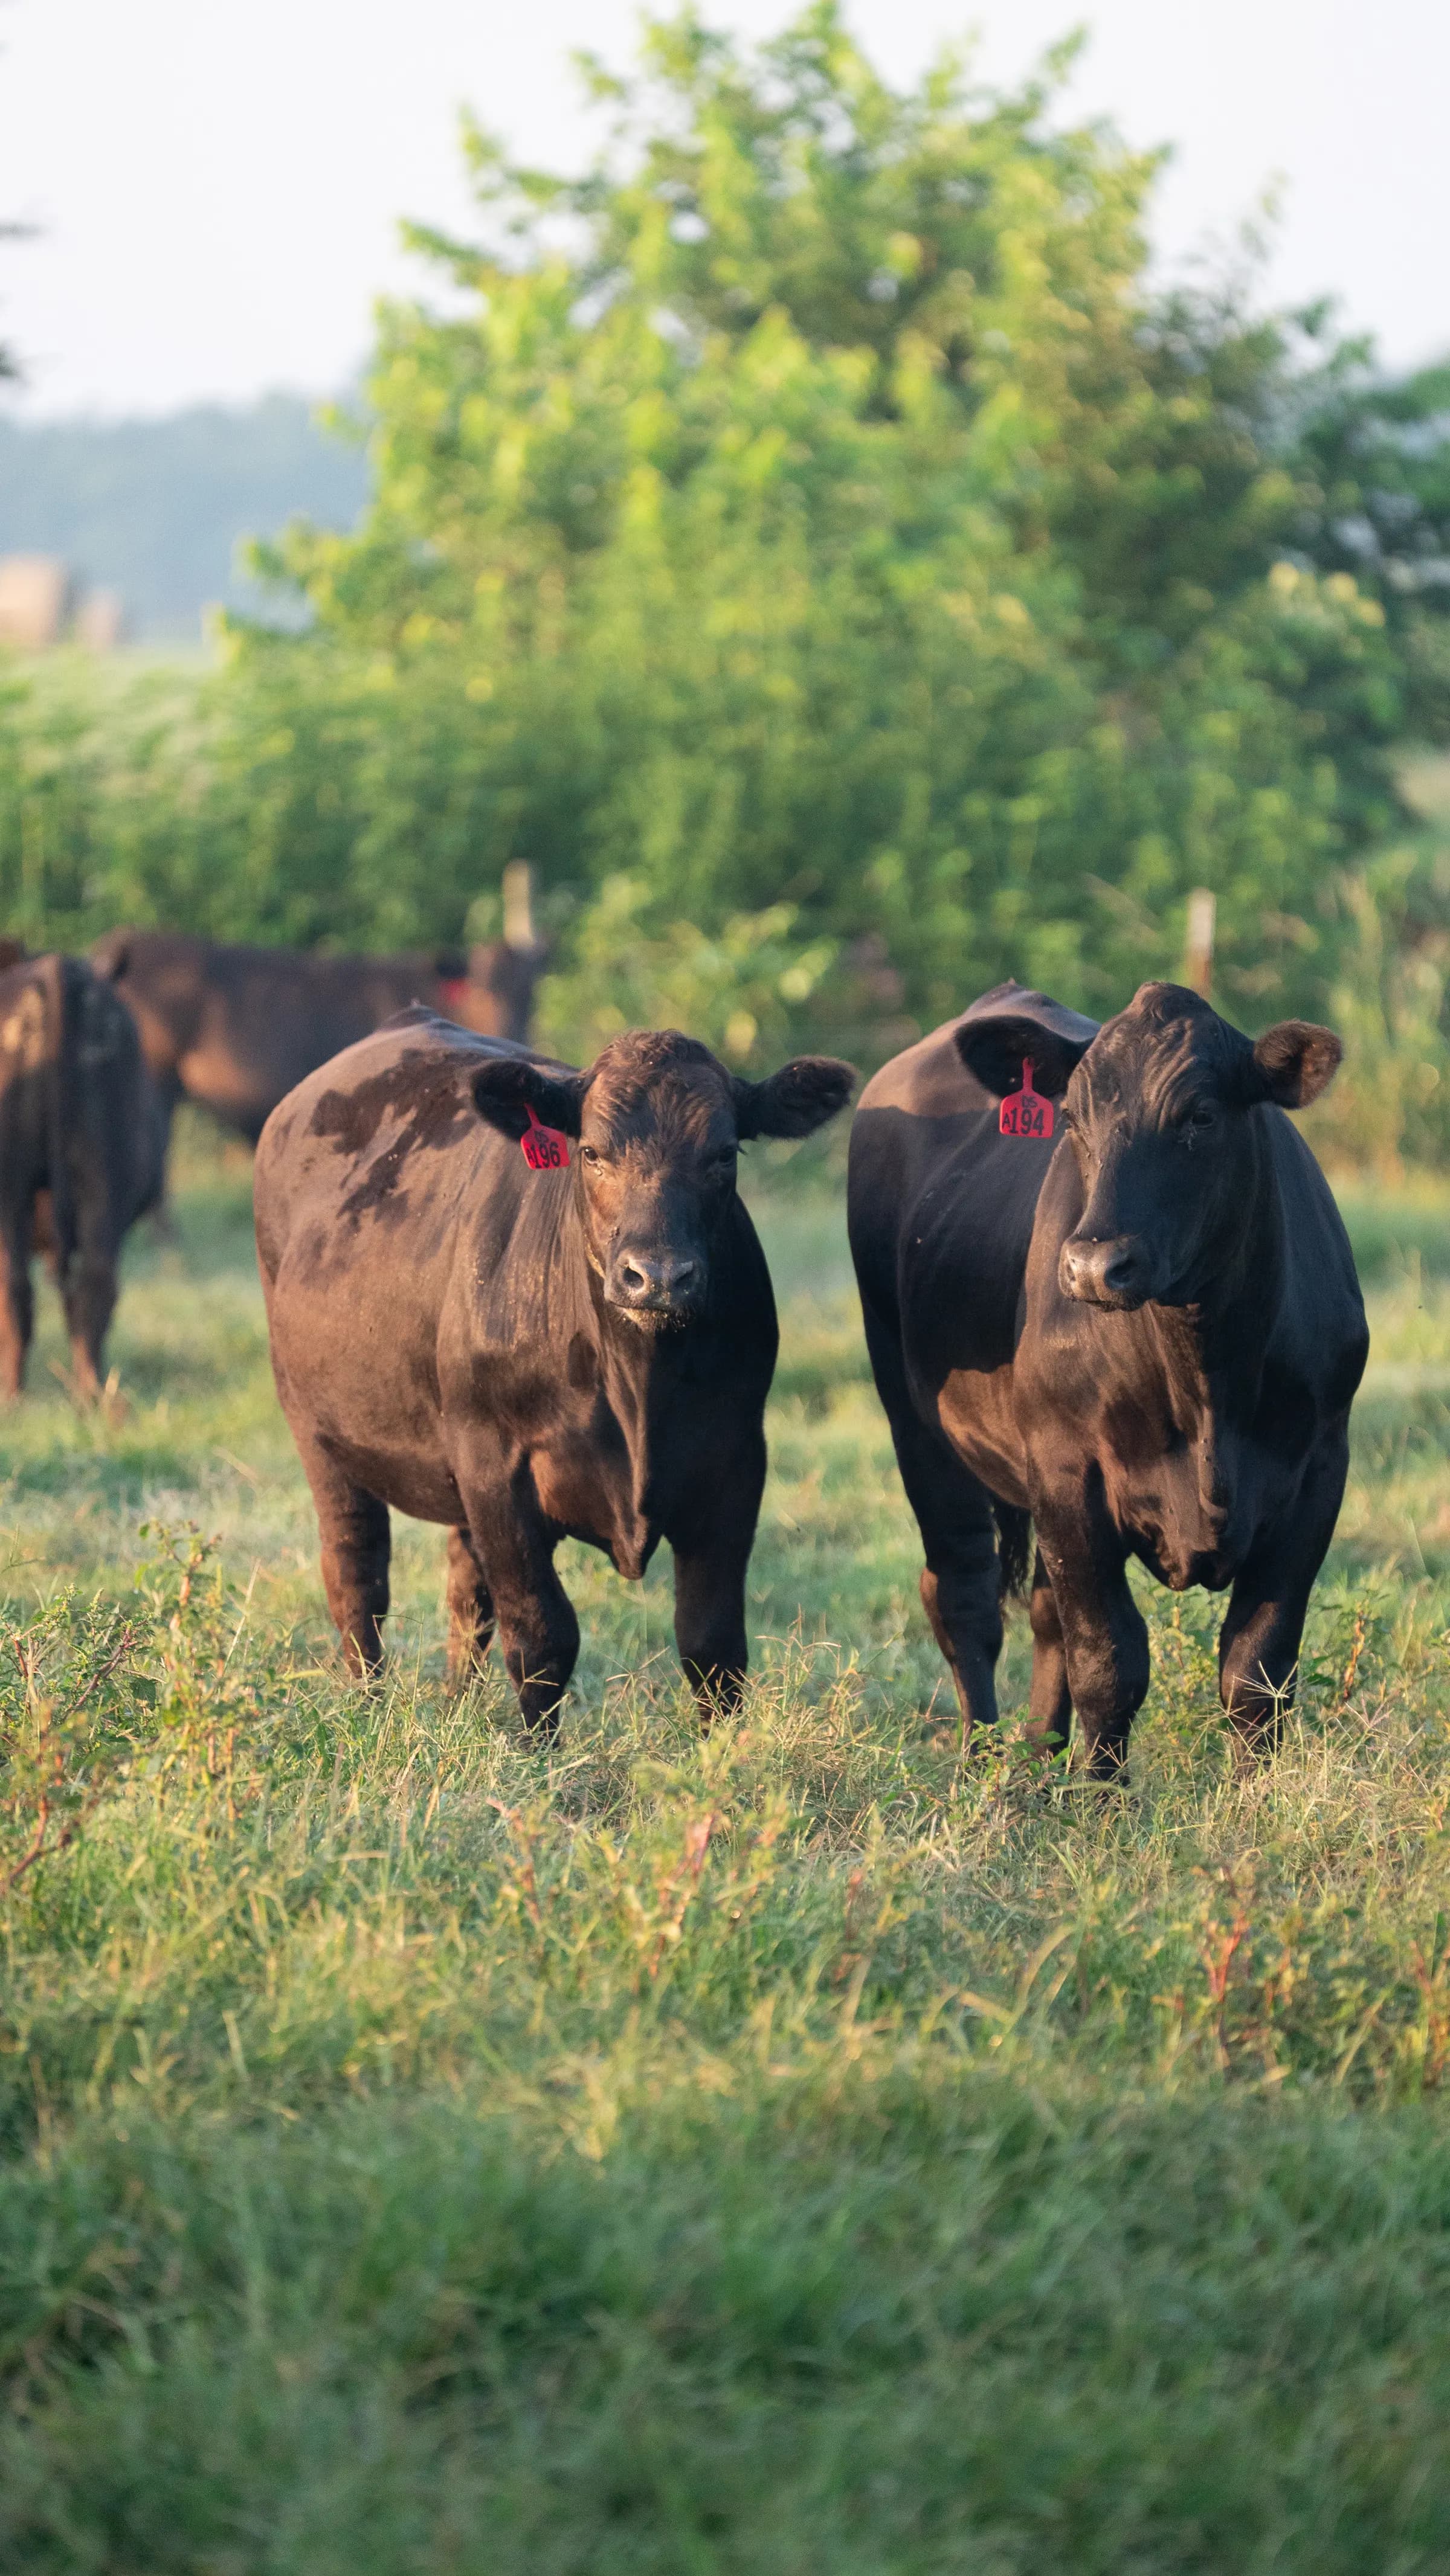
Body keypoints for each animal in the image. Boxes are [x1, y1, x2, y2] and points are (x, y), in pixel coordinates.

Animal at [254, 1011, 854, 1730]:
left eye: (724, 1154)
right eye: (592, 1152)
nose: (658, 1276)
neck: (637, 1386)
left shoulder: (736, 1460)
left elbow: (712, 1645)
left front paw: (724, 1752)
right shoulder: (495, 1466)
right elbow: (542, 1636)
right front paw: (536, 1751)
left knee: (465, 1593)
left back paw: (458, 1706)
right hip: (317, 1432)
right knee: (357, 1576)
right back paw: (370, 1707)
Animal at [848, 978, 1368, 1779]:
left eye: (1200, 1115)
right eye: (1072, 1118)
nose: (1095, 1265)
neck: (1206, 1378)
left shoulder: (1318, 1469)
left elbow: (1257, 1669)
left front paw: (1260, 1792)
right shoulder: (1069, 1471)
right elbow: (1109, 1662)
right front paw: (1101, 1795)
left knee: (1041, 1613)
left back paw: (1036, 1763)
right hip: (915, 1420)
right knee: (964, 1596)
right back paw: (980, 1766)